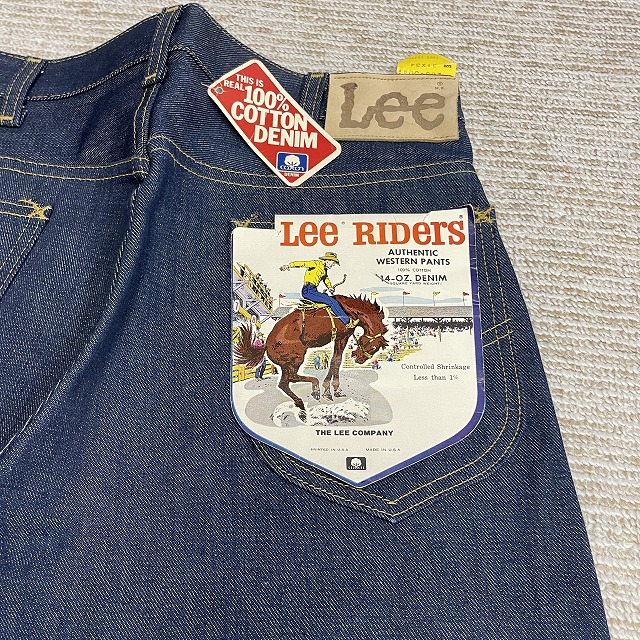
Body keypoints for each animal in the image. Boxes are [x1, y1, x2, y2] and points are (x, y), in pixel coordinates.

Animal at [234, 295, 388, 416]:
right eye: (374, 347)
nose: (360, 359)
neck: (349, 310)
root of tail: (265, 344)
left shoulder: (339, 338)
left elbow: (334, 360)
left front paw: (330, 390)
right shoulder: (342, 337)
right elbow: (336, 360)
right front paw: (332, 390)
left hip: (286, 364)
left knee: (284, 383)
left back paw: (300, 403)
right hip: (297, 357)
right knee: (291, 378)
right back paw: (315, 388)